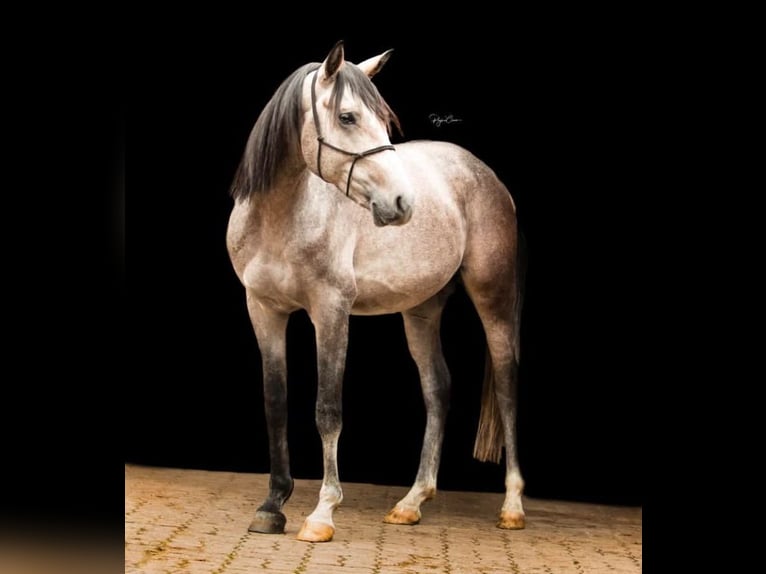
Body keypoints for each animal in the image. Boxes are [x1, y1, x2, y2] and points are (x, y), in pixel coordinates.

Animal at [226, 40, 528, 544]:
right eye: (348, 117)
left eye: (384, 121)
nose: (404, 203)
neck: (281, 219)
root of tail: (485, 175)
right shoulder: (263, 310)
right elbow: (275, 403)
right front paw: (272, 506)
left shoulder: (330, 311)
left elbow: (328, 409)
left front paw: (322, 513)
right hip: (421, 311)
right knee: (438, 388)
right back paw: (411, 502)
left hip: (494, 300)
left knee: (506, 389)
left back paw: (512, 506)